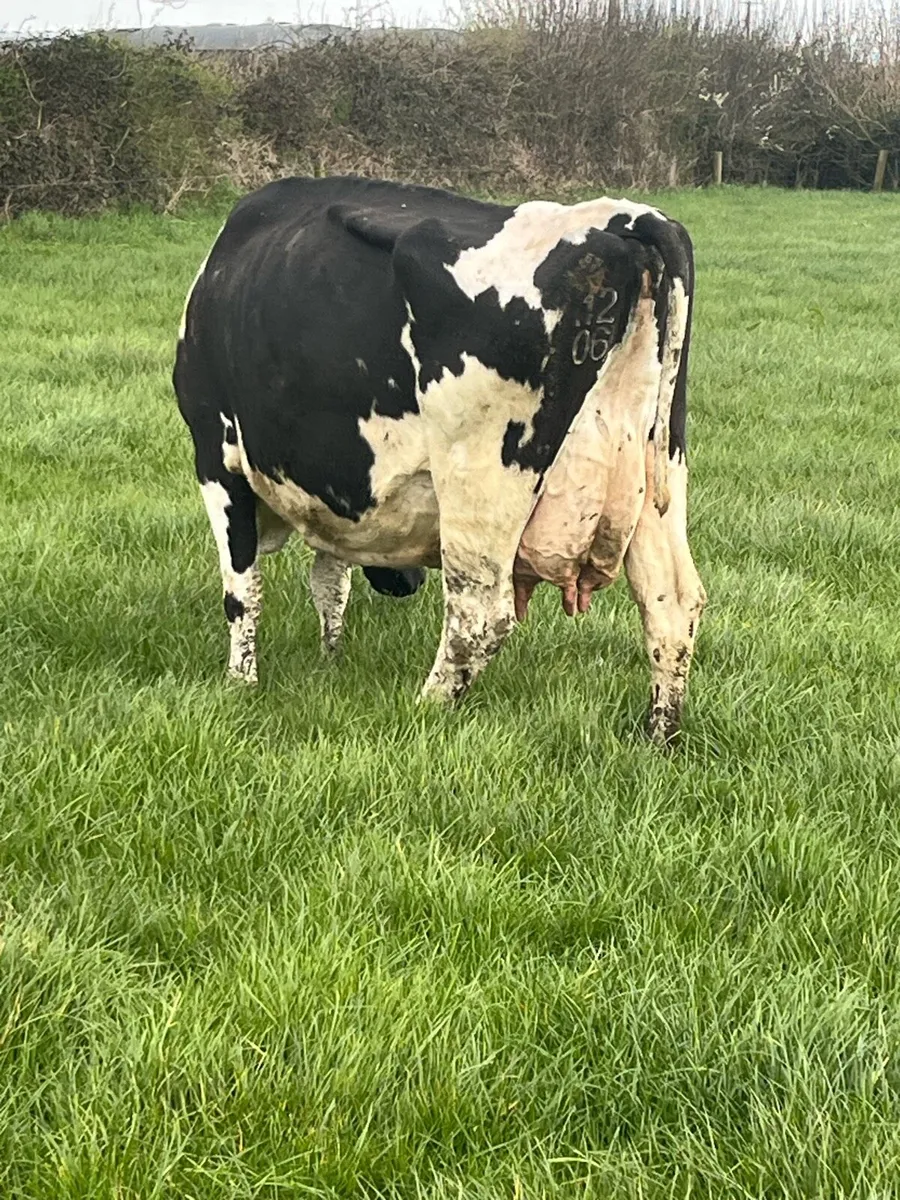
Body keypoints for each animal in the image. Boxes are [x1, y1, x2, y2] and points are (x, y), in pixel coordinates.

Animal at [173, 175, 706, 744]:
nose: (405, 583)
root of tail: (620, 218)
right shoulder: (337, 488)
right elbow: (330, 580)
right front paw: (329, 659)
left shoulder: (215, 456)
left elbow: (242, 588)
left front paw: (240, 682)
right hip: (657, 475)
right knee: (671, 603)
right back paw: (660, 736)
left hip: (479, 483)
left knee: (479, 614)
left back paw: (423, 709)